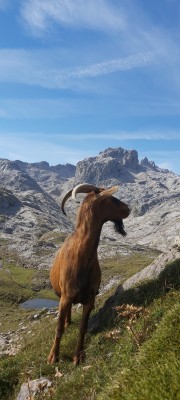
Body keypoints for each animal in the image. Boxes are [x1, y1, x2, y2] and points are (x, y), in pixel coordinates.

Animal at [47, 184, 129, 366]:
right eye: (112, 199)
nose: (128, 209)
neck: (81, 258)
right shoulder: (65, 297)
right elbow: (58, 328)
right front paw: (53, 356)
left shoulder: (90, 297)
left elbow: (83, 327)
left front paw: (78, 356)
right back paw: (67, 322)